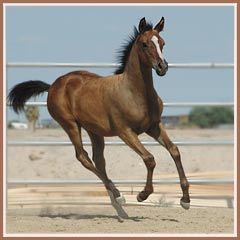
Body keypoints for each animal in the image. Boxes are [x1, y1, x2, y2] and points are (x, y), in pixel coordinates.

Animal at [8, 16, 190, 219]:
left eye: (163, 43)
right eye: (144, 44)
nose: (162, 67)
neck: (135, 92)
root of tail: (53, 85)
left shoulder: (154, 126)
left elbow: (174, 151)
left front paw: (185, 200)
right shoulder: (125, 132)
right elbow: (149, 158)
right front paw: (142, 194)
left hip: (94, 131)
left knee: (99, 161)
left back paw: (120, 208)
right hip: (70, 125)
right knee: (83, 157)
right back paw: (119, 196)